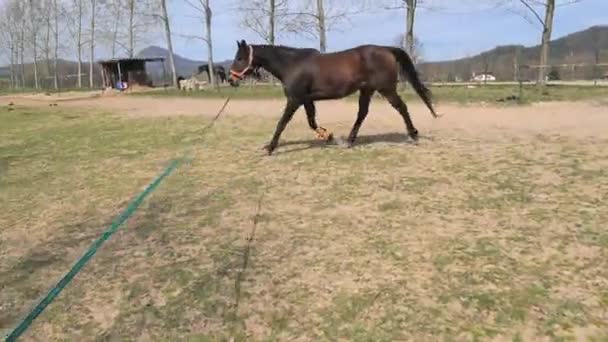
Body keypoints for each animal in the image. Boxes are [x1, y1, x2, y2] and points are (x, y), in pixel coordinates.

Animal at [227, 39, 436, 155]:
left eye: (240, 58)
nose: (230, 79)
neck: (292, 64)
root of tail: (386, 49)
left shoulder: (294, 99)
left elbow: (282, 123)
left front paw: (270, 148)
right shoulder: (307, 100)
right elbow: (311, 121)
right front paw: (328, 136)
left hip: (386, 89)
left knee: (401, 108)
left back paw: (413, 135)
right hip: (367, 90)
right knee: (362, 113)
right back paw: (349, 141)